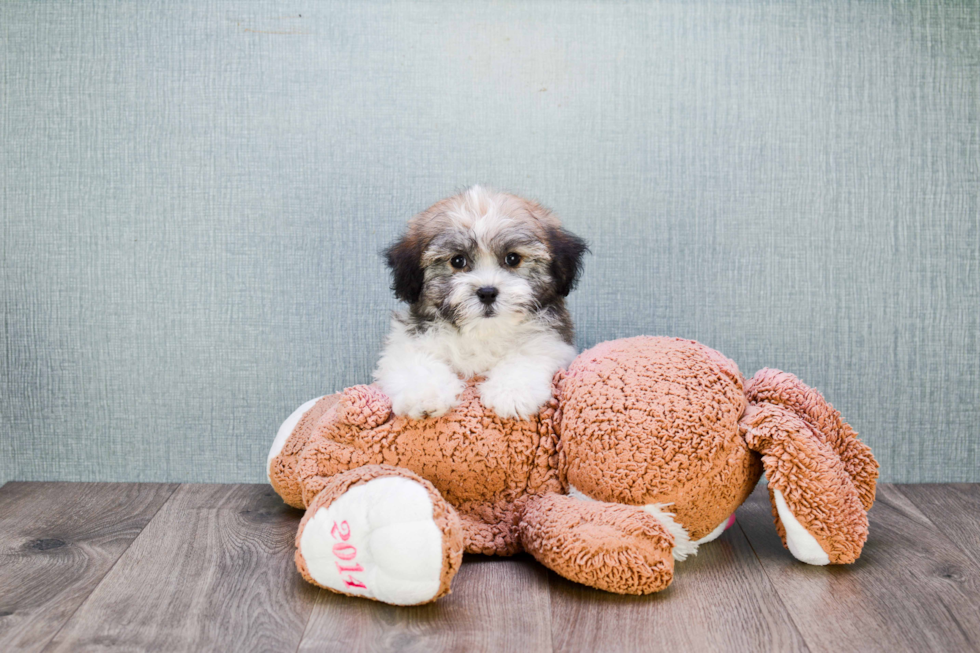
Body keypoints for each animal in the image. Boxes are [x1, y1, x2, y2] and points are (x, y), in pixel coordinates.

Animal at [376, 185, 588, 418]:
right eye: (457, 261)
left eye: (512, 258)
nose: (487, 292)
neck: (483, 332)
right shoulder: (406, 341)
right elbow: (415, 362)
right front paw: (425, 395)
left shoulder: (551, 341)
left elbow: (527, 355)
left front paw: (512, 393)